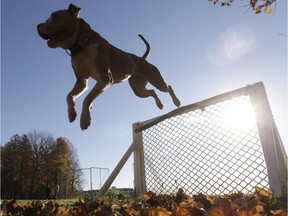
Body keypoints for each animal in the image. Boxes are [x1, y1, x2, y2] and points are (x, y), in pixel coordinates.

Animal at [36, 3, 180, 130]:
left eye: (54, 16)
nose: (38, 25)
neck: (81, 44)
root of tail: (142, 59)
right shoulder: (82, 81)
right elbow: (69, 95)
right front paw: (72, 112)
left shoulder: (105, 79)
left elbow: (87, 99)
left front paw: (85, 119)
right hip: (138, 90)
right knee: (152, 92)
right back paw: (160, 104)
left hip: (156, 80)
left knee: (168, 87)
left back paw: (176, 101)